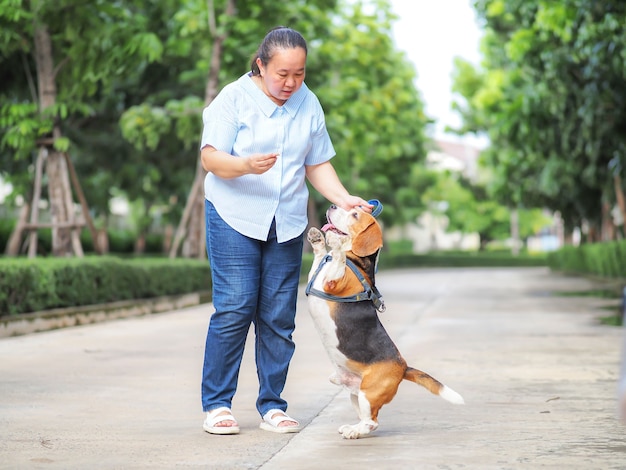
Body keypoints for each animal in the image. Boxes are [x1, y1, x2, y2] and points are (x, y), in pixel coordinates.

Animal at [304, 204, 460, 438]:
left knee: (373, 422)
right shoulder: (316, 276)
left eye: (355, 214)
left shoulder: (333, 282)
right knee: (367, 419)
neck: (356, 259)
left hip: (369, 393)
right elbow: (319, 257)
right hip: (356, 393)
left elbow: (338, 257)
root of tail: (403, 368)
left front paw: (334, 242)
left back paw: (354, 432)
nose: (332, 205)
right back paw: (353, 428)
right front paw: (317, 239)